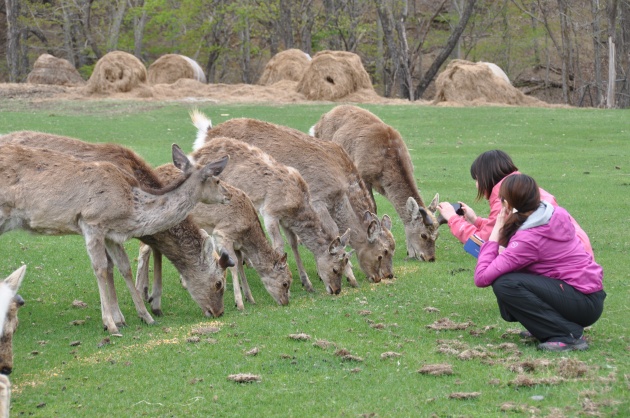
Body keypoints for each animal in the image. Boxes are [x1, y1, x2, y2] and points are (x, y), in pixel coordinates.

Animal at [0, 142, 232, 334]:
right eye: (219, 283)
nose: (219, 312)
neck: (131, 207)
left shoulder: (111, 233)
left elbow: (124, 267)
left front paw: (146, 317)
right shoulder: (91, 222)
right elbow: (101, 268)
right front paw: (111, 324)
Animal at [138, 164, 294, 310]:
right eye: (285, 283)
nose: (285, 302)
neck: (246, 232)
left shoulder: (236, 244)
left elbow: (240, 264)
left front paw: (250, 298)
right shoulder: (222, 234)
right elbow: (234, 265)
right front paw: (239, 303)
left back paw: (148, 294)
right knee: (143, 249)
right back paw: (142, 293)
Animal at [188, 120, 356, 294]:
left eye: (345, 264)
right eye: (335, 269)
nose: (336, 290)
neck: (297, 203)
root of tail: (196, 151)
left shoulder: (286, 220)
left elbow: (293, 243)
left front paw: (307, 283)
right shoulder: (270, 212)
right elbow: (279, 245)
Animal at [194, 111, 396, 282]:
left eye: (393, 248)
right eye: (383, 252)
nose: (384, 276)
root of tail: (205, 136)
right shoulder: (317, 199)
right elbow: (332, 232)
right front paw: (345, 274)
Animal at [310, 104, 440, 262]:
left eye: (437, 235)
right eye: (423, 235)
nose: (430, 258)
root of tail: (319, 122)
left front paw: (410, 252)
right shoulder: (363, 175)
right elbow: (372, 208)